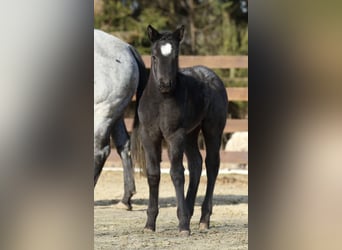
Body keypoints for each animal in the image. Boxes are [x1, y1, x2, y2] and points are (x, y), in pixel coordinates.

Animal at [94, 28, 146, 209]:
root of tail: (127, 48)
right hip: (115, 113)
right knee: (123, 145)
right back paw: (125, 199)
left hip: (103, 112)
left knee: (101, 151)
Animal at [132, 25, 228, 234]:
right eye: (154, 56)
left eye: (175, 55)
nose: (165, 84)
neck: (161, 102)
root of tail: (212, 75)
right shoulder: (149, 135)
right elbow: (153, 174)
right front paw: (149, 224)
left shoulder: (174, 136)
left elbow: (176, 173)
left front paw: (183, 224)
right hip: (191, 134)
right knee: (196, 163)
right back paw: (189, 211)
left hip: (212, 130)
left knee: (211, 165)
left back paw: (203, 219)